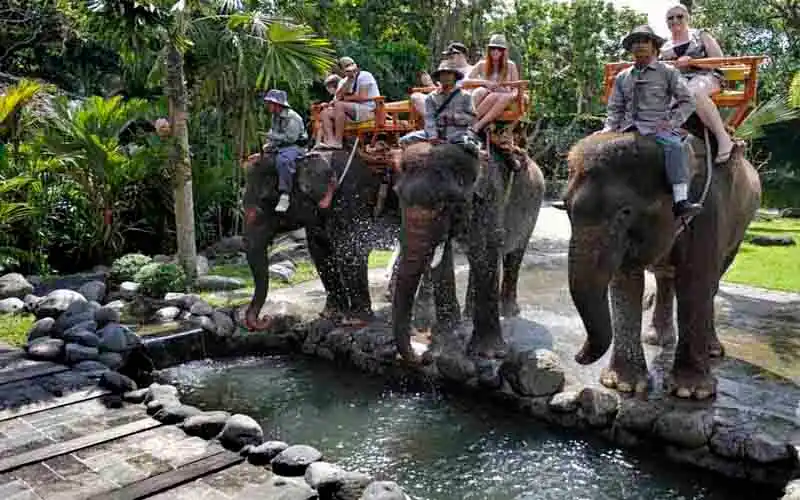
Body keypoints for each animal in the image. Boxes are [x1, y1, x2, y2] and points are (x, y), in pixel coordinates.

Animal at [243, 148, 400, 330]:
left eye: (265, 200)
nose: (265, 319)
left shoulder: (350, 197)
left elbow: (351, 248)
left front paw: (356, 320)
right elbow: (320, 250)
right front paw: (329, 315)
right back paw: (391, 295)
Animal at [391, 142, 545, 362]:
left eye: (444, 204)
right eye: (398, 196)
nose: (424, 355)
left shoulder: (491, 196)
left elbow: (485, 250)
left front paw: (488, 354)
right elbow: (444, 259)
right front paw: (447, 332)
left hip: (533, 209)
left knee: (513, 255)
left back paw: (509, 312)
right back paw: (468, 315)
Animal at [563, 130, 760, 400]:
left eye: (625, 212)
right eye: (565, 206)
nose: (578, 357)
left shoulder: (706, 210)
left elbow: (695, 279)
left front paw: (690, 392)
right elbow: (627, 280)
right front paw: (623, 385)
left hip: (740, 230)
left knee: (713, 281)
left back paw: (712, 350)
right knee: (665, 277)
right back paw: (657, 340)